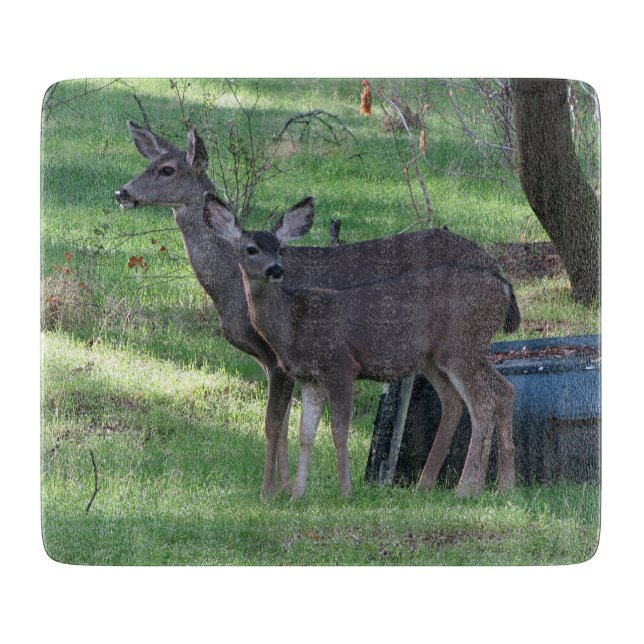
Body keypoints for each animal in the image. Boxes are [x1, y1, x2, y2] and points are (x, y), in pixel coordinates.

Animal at [203, 192, 519, 499]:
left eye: (280, 249)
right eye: (251, 249)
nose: (276, 269)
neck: (294, 323)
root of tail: (505, 288)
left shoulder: (341, 365)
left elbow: (338, 430)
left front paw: (344, 492)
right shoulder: (309, 378)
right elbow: (305, 434)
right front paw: (297, 496)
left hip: (462, 345)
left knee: (485, 399)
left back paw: (468, 489)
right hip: (437, 357)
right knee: (492, 391)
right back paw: (501, 486)